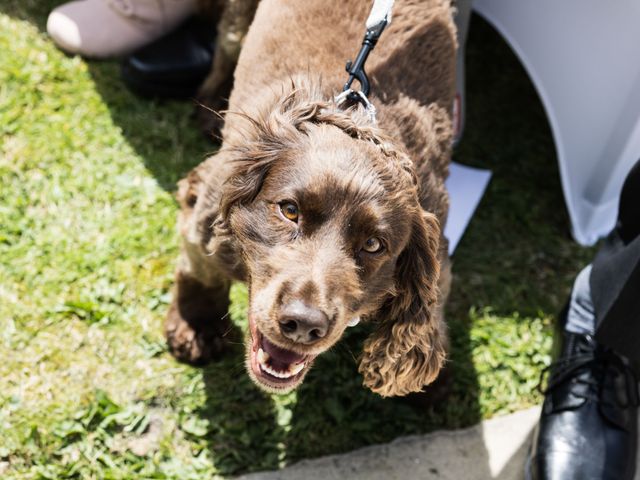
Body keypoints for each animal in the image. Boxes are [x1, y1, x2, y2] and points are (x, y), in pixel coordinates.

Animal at [165, 0, 456, 398]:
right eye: (290, 211)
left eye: (374, 244)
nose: (303, 324)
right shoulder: (210, 204)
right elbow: (200, 268)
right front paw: (195, 326)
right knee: (228, 39)